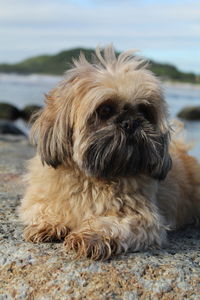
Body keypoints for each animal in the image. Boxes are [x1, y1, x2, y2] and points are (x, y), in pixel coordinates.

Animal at [19, 45, 200, 260]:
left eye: (144, 111)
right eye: (104, 110)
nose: (130, 122)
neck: (93, 178)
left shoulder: (143, 219)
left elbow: (113, 223)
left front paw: (90, 236)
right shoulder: (35, 200)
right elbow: (45, 207)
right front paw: (52, 223)